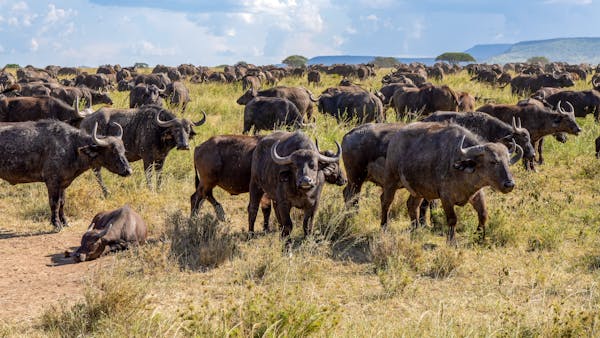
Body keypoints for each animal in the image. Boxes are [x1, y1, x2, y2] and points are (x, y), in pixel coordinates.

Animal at [0, 120, 131, 228]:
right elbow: (54, 203)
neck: (72, 146)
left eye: (123, 150)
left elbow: (62, 202)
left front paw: (64, 221)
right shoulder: (52, 182)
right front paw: (56, 223)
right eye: (113, 151)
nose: (129, 170)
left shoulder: (63, 183)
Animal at [382, 123, 524, 242]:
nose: (509, 184)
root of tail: (394, 139)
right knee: (386, 201)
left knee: (412, 205)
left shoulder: (477, 193)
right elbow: (452, 219)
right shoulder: (446, 198)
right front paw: (451, 241)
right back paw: (384, 226)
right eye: (493, 161)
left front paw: (479, 237)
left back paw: (415, 228)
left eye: (508, 161)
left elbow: (483, 214)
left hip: (418, 190)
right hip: (391, 180)